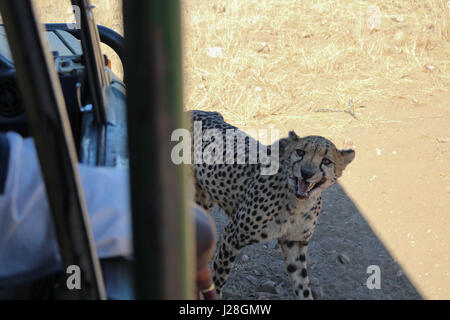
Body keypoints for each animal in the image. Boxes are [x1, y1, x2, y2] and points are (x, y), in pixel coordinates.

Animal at [186, 110, 356, 300]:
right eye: (300, 152)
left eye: (326, 161)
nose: (306, 173)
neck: (298, 203)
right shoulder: (232, 236)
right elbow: (218, 279)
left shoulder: (294, 243)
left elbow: (303, 285)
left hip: (204, 200)